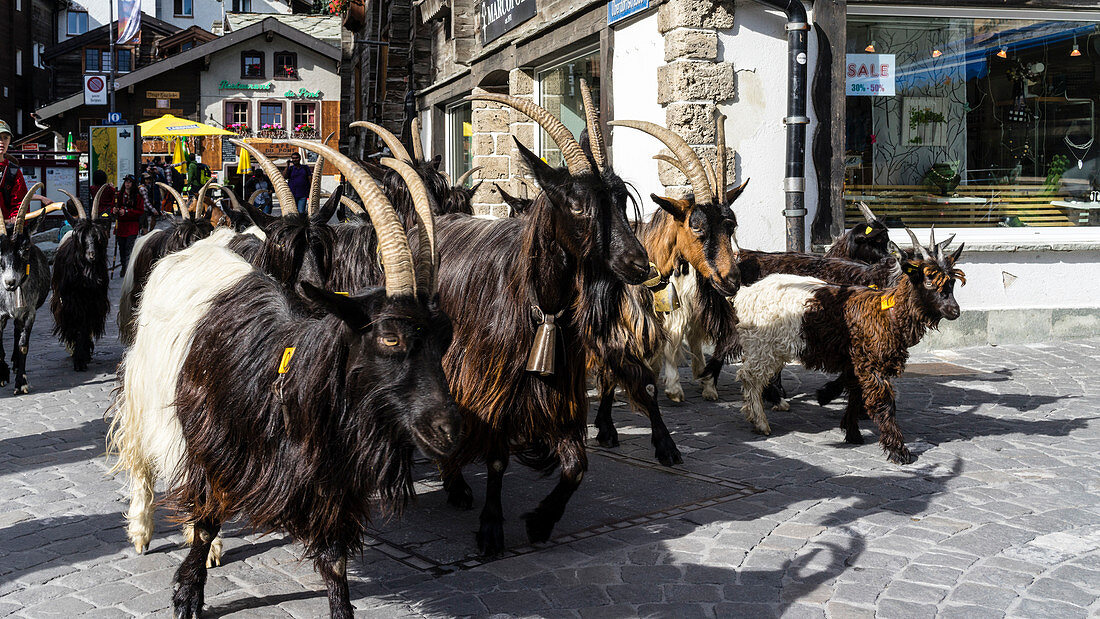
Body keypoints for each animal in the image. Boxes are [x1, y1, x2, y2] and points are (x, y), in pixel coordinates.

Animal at [739, 230, 963, 466]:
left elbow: (855, 393)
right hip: (763, 345)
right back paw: (760, 421)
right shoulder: (871, 363)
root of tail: (747, 293)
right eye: (929, 281)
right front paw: (899, 451)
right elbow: (883, 402)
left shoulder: (857, 360)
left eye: (952, 283)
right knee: (749, 377)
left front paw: (850, 429)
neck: (887, 312)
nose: (954, 310)